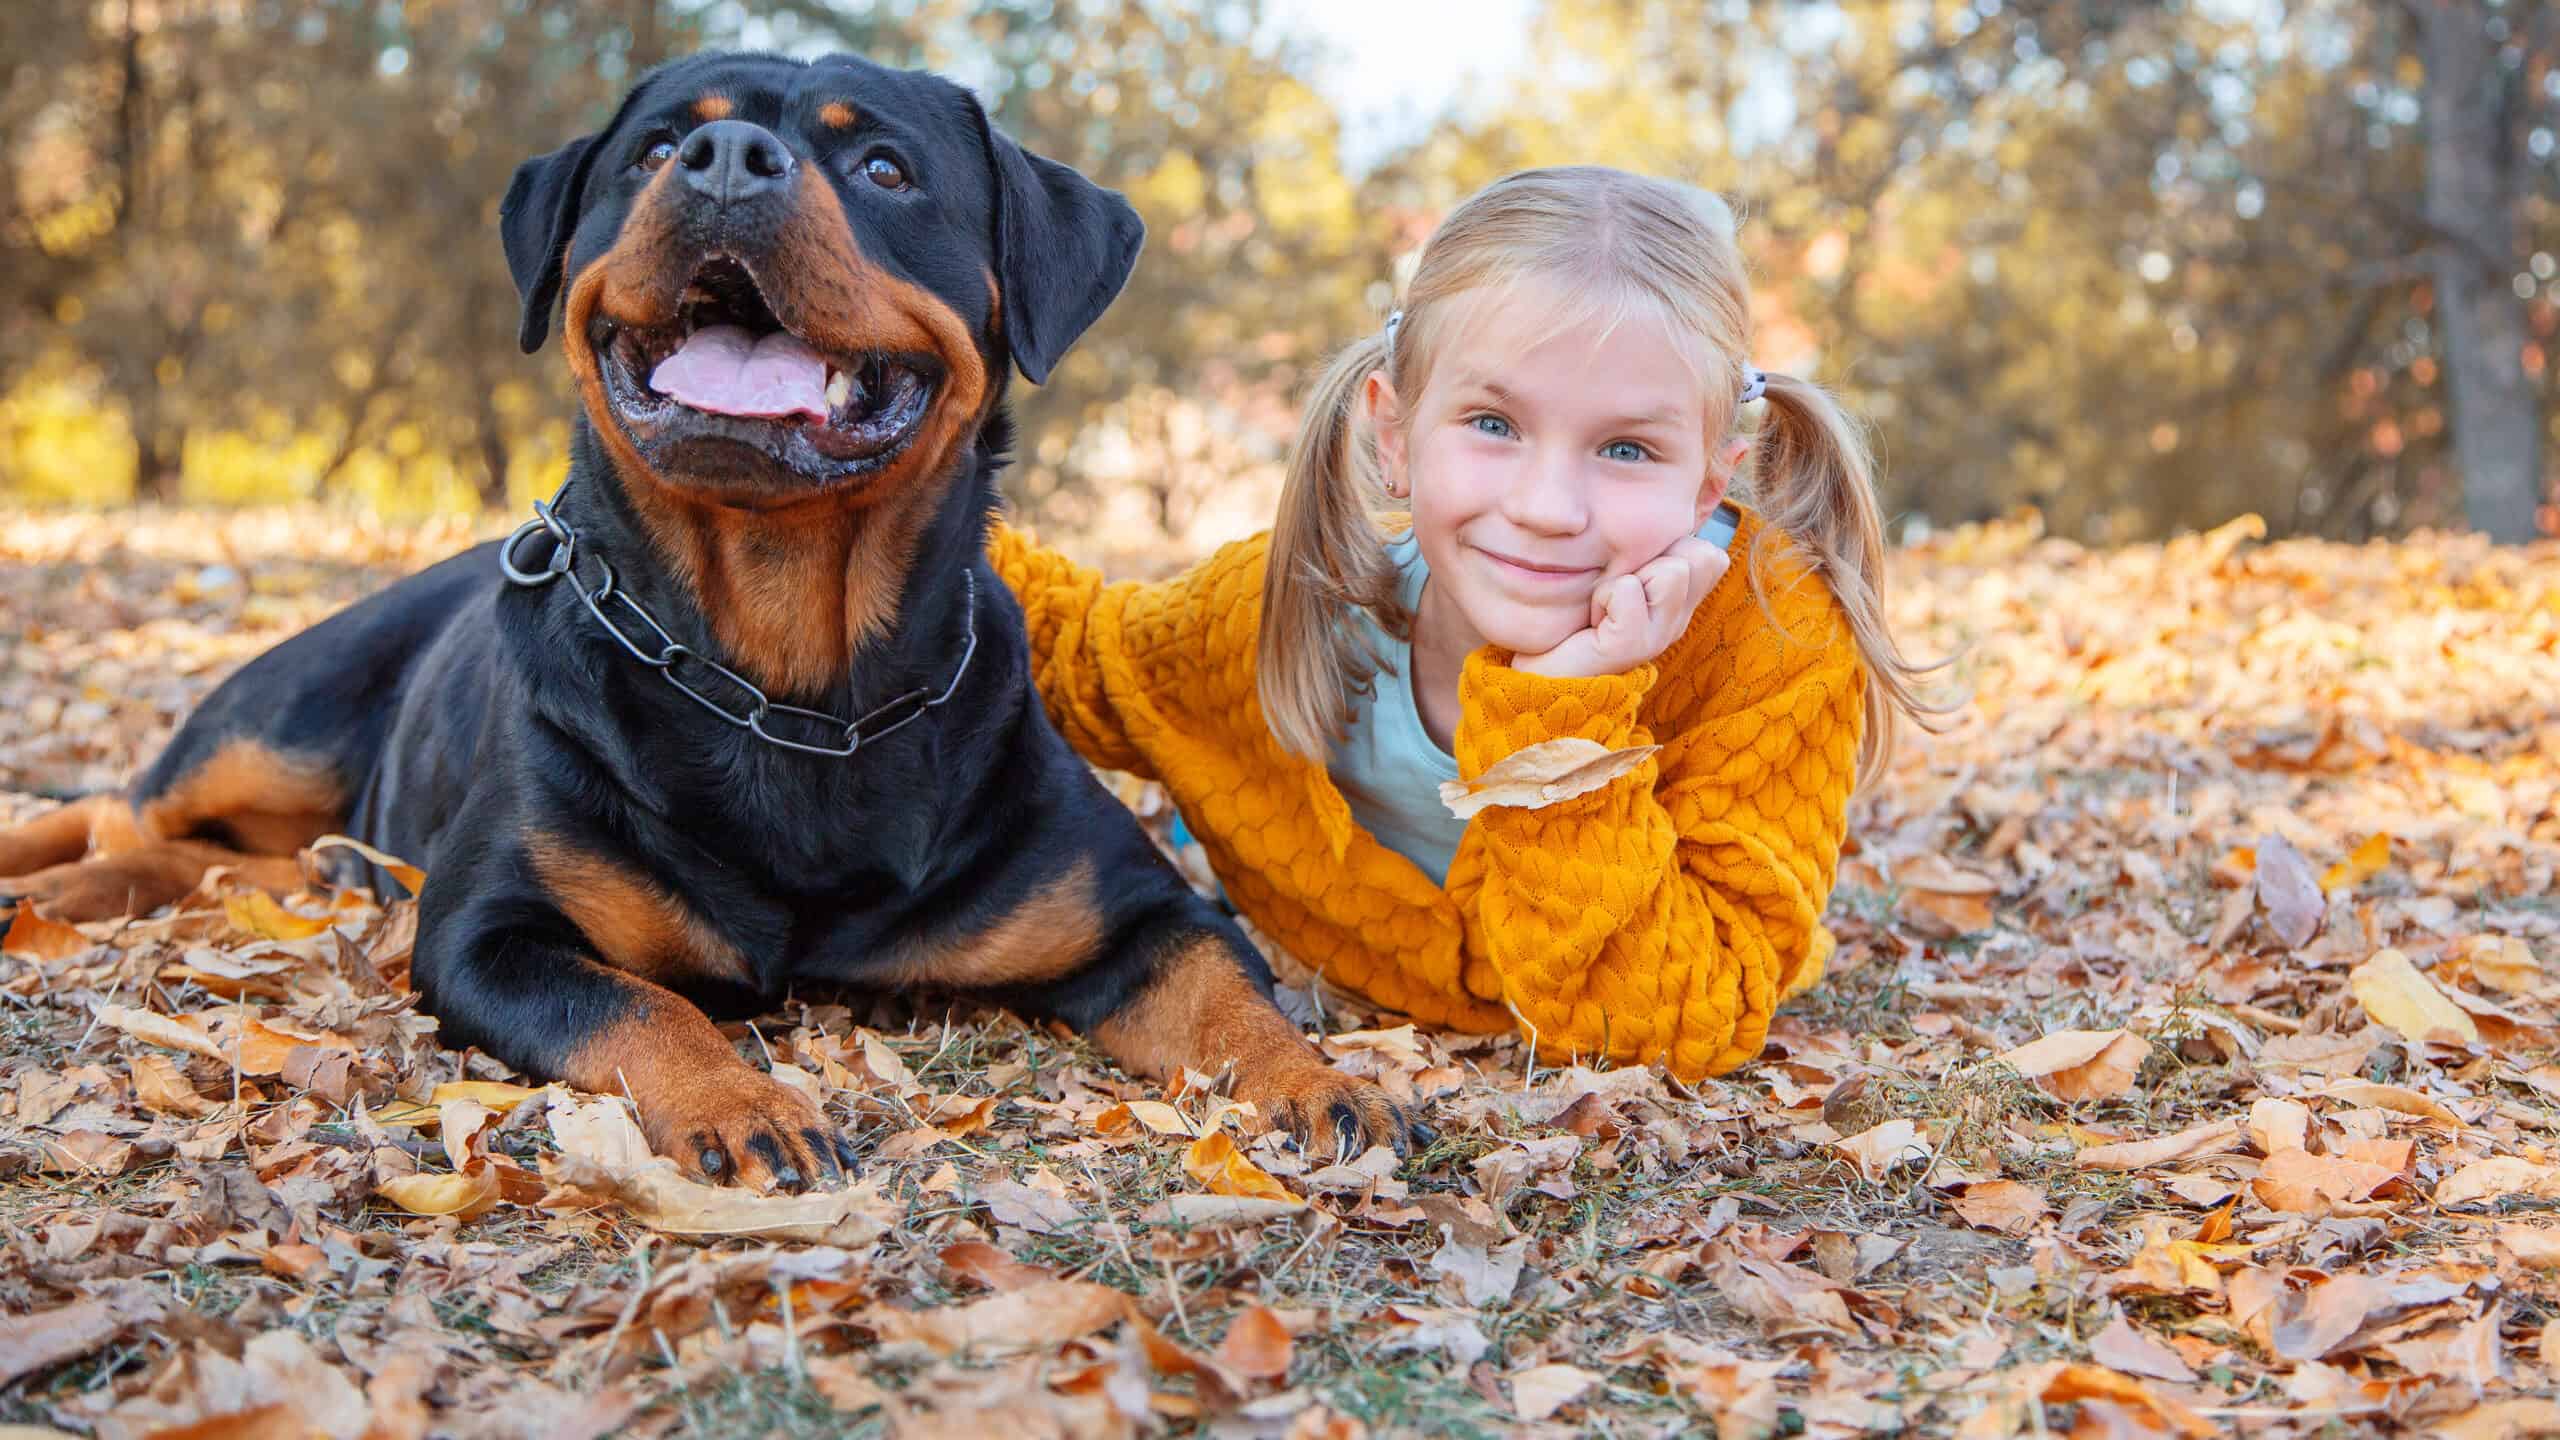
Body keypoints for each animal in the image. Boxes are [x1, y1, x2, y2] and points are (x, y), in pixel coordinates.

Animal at [0, 50, 1413, 1183]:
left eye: (885, 166)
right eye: (655, 147)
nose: (726, 161)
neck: (786, 679)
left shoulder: (1138, 912)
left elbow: (1229, 997)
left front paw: (1317, 1080)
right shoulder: (486, 933)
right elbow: (642, 1010)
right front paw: (745, 1105)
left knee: (213, 860)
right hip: (281, 721)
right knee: (128, 809)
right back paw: (54, 881)